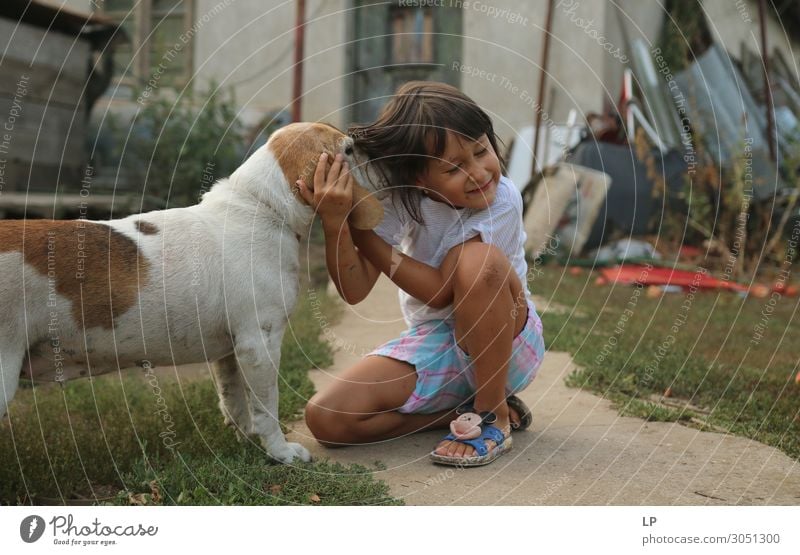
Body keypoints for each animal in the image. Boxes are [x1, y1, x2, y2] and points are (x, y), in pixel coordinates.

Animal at [0, 122, 384, 464]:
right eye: (349, 150)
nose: (375, 150)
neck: (261, 207)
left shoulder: (232, 351)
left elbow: (235, 400)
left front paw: (246, 439)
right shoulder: (260, 344)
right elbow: (267, 406)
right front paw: (281, 452)